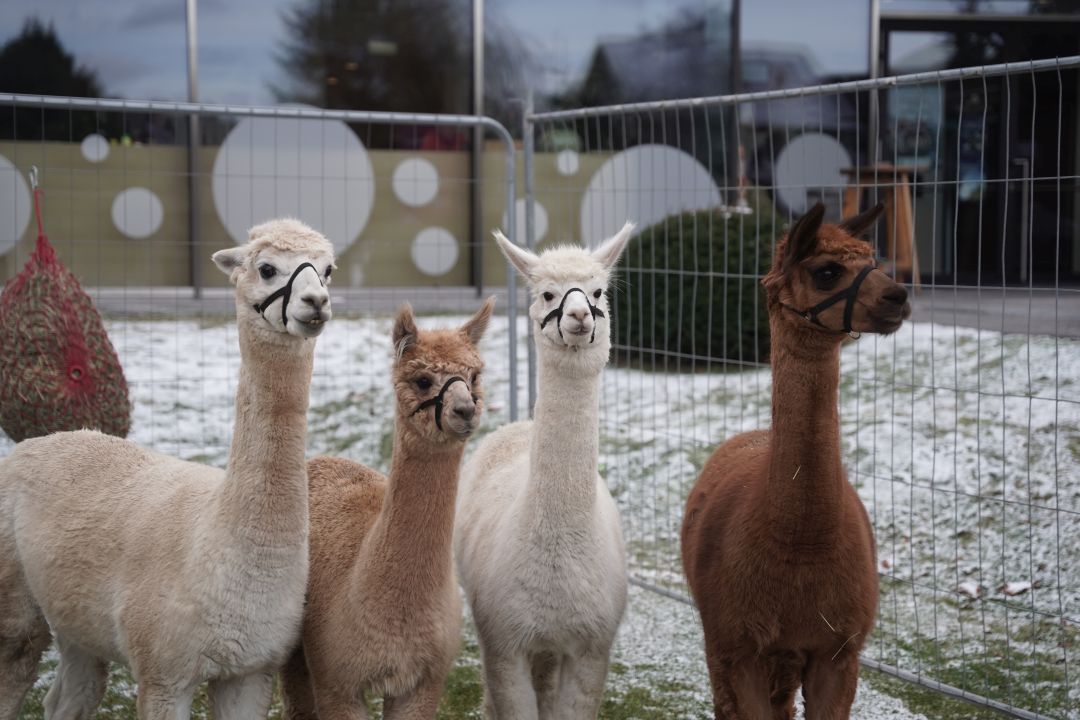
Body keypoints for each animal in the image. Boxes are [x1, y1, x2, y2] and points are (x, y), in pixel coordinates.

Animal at [0, 218, 335, 720]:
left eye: (328, 270)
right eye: (267, 268)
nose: (316, 302)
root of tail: (38, 443)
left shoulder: (251, 669)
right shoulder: (163, 669)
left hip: (77, 618)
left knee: (69, 696)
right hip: (14, 601)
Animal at [454, 224, 635, 719]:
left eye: (598, 291)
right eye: (548, 293)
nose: (579, 315)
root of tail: (519, 425)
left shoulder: (592, 648)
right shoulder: (504, 641)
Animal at [680, 202, 911, 719]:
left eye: (874, 258)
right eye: (826, 272)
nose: (899, 296)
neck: (803, 546)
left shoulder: (838, 652)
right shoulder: (740, 647)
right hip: (722, 642)